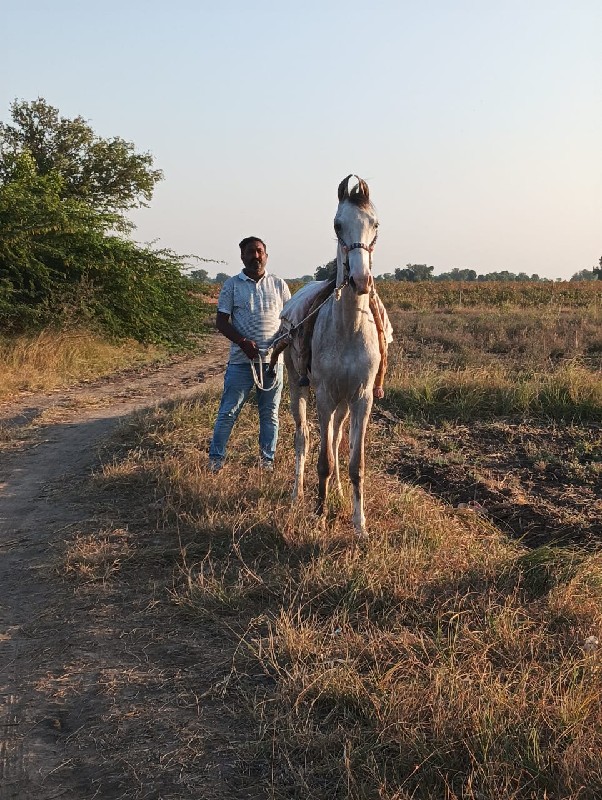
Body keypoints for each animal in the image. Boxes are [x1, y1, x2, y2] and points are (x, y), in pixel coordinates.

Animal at [284, 175, 380, 536]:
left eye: (375, 223)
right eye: (338, 225)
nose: (361, 279)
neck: (349, 328)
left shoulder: (362, 398)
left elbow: (355, 462)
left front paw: (359, 524)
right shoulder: (324, 395)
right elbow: (322, 459)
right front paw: (319, 514)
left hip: (343, 402)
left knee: (336, 437)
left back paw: (337, 491)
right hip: (298, 388)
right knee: (303, 438)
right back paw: (297, 494)